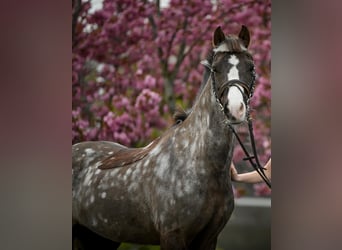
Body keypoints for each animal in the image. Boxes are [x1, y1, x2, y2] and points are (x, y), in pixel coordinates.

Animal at [73, 25, 256, 250]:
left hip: (99, 237)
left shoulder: (209, 238)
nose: (235, 109)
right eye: (215, 69)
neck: (199, 161)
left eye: (251, 68)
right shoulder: (172, 236)